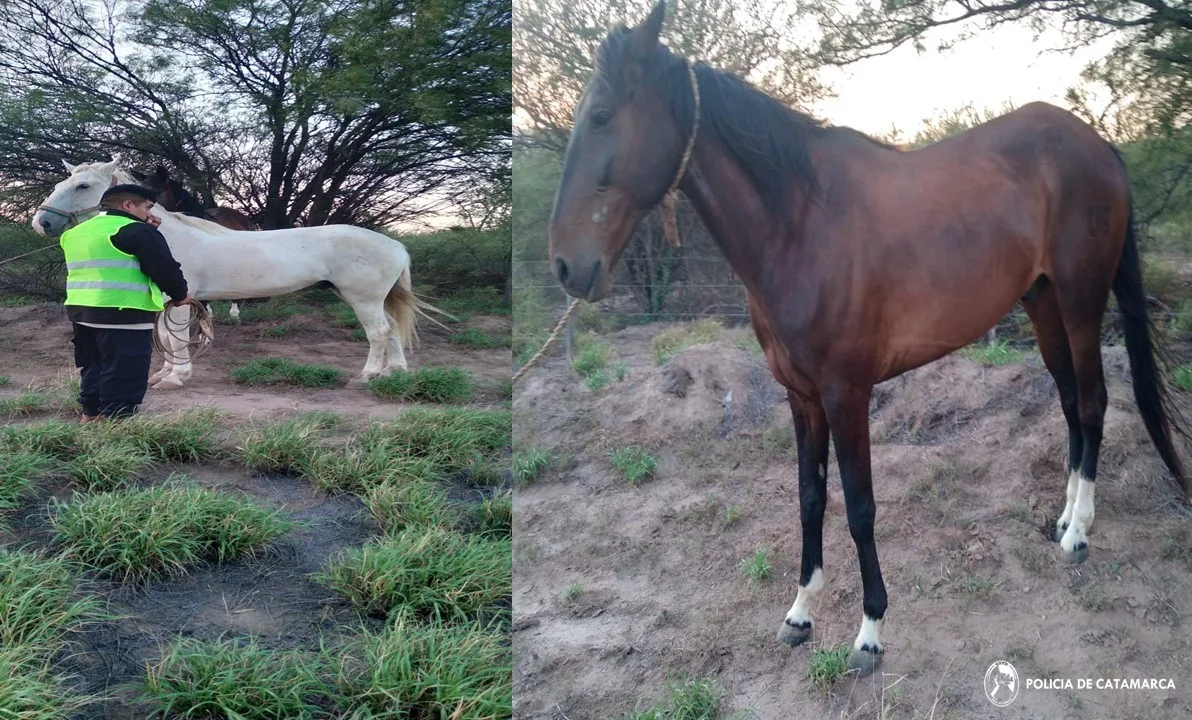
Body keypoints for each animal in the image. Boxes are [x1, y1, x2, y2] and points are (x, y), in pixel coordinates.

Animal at [31, 158, 433, 388]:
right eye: (60, 184)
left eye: (83, 186)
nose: (42, 223)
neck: (167, 237)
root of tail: (393, 245)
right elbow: (167, 338)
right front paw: (164, 374)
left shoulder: (180, 299)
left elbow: (177, 339)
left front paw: (176, 378)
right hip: (372, 298)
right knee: (391, 328)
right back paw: (395, 372)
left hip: (362, 299)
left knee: (378, 333)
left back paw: (367, 376)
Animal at [545, 0, 1187, 677]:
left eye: (602, 115)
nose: (566, 265)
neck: (798, 222)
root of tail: (1097, 144)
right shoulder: (801, 397)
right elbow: (809, 499)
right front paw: (800, 614)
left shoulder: (846, 394)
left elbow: (858, 507)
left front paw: (870, 629)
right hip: (1043, 306)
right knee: (1068, 404)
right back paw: (1062, 519)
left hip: (1083, 303)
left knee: (1092, 404)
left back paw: (1080, 533)